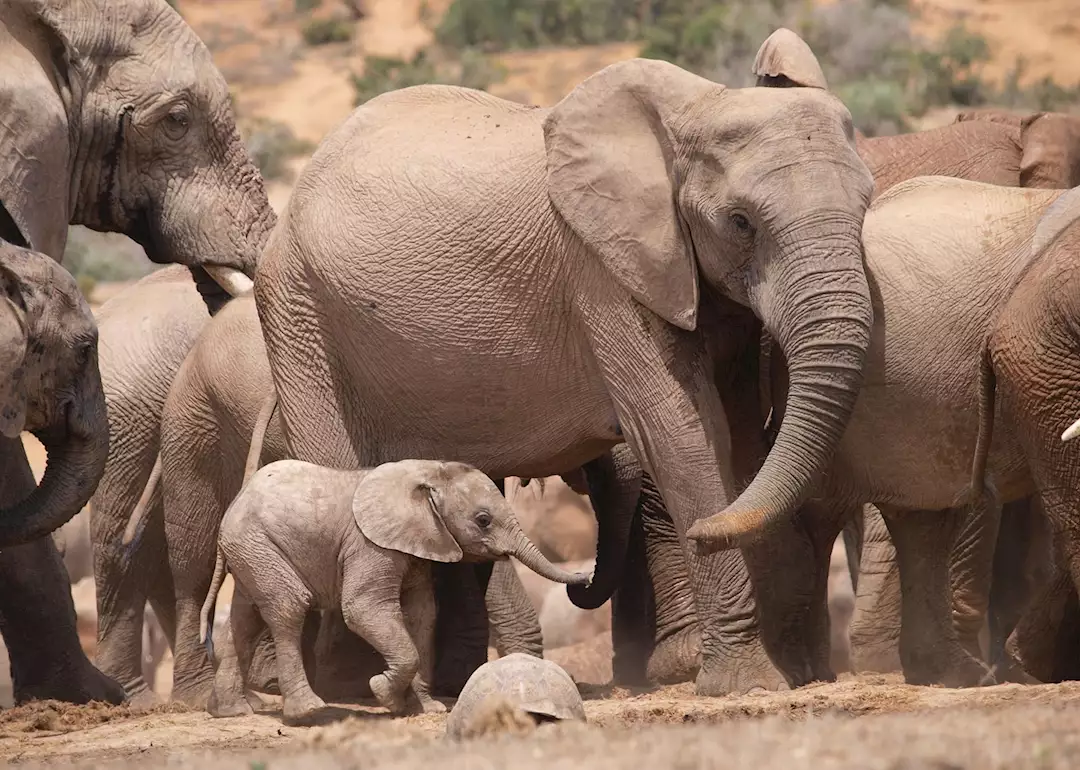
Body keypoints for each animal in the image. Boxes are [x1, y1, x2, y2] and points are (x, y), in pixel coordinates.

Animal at [200, 458, 588, 724]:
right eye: (483, 520)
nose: (584, 579)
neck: (429, 471)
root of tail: (232, 508)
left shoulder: (418, 545)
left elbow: (423, 614)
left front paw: (424, 708)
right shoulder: (369, 545)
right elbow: (362, 609)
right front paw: (382, 692)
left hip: (251, 552)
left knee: (245, 620)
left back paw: (234, 712)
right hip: (258, 545)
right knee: (289, 606)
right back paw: (307, 712)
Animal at [253, 54, 878, 697]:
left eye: (865, 206)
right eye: (740, 222)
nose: (705, 531)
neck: (698, 105)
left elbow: (746, 433)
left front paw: (794, 674)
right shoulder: (604, 274)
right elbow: (681, 434)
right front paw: (749, 685)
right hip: (299, 316)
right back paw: (352, 691)